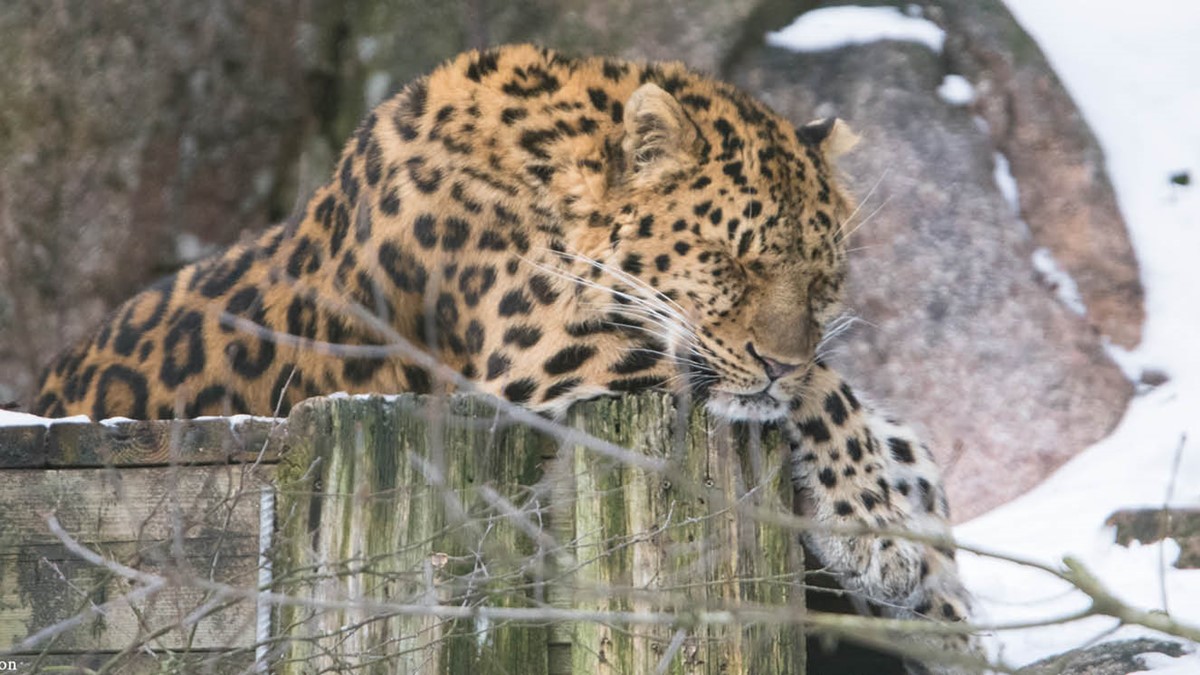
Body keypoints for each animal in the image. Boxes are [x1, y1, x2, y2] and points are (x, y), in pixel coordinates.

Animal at [32, 44, 979, 667]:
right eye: (732, 262)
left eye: (822, 278)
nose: (778, 356)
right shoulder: (547, 351)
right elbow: (824, 389)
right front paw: (876, 524)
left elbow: (882, 423)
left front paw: (935, 588)